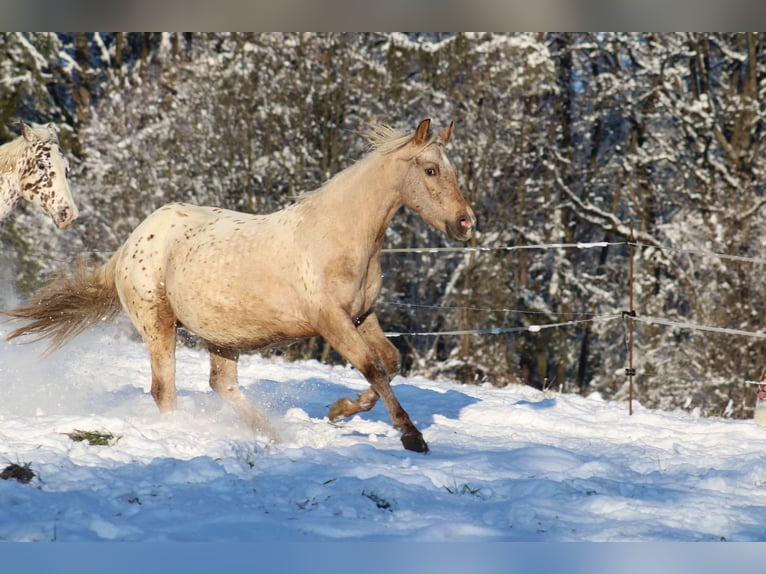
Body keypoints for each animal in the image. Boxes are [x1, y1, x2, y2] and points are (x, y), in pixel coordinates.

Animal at [4, 118, 474, 454]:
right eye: (430, 169)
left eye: (454, 170)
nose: (465, 223)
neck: (339, 234)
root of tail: (131, 243)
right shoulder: (331, 322)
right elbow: (372, 367)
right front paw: (411, 436)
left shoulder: (362, 315)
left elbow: (391, 361)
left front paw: (339, 411)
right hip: (159, 325)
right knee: (164, 389)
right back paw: (182, 436)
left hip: (222, 337)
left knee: (222, 386)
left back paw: (275, 437)